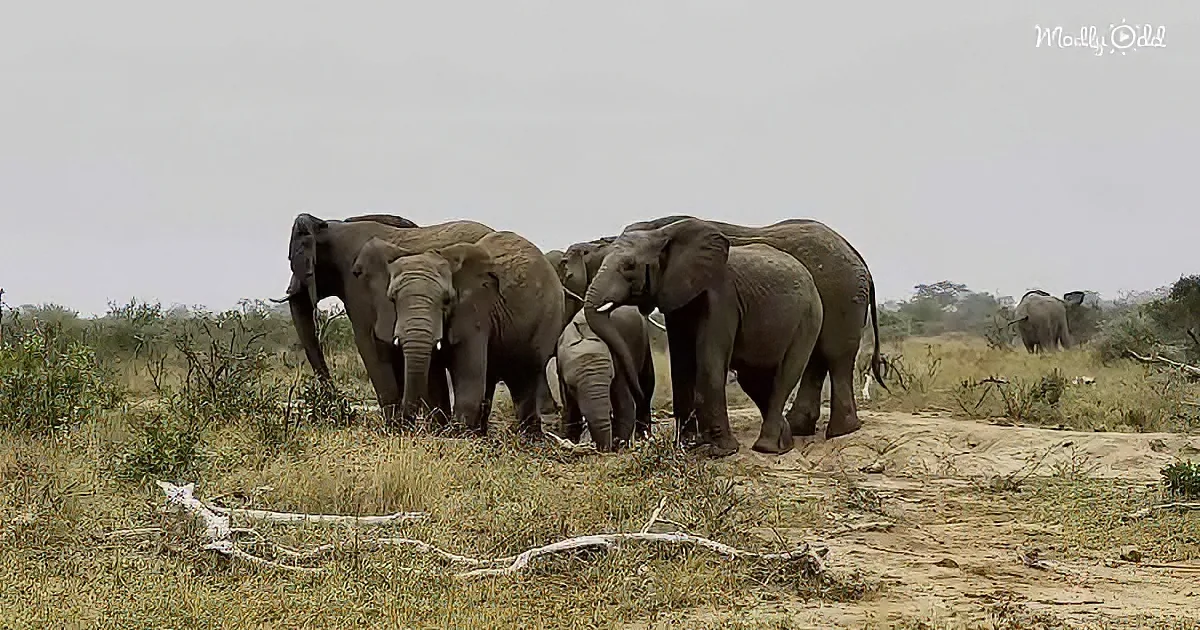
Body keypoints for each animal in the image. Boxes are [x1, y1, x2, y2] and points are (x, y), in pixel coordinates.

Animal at [273, 213, 494, 422]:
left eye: (292, 262)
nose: (339, 408)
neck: (330, 227)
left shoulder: (358, 288)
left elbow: (368, 344)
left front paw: (395, 426)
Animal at [351, 230, 564, 436]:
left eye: (446, 300)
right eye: (392, 299)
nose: (405, 425)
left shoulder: (474, 311)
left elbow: (468, 377)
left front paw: (458, 436)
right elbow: (434, 382)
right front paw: (440, 432)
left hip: (547, 319)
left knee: (525, 374)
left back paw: (527, 438)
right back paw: (483, 434)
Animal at [556, 305, 654, 451]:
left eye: (610, 379)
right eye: (572, 387)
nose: (602, 448)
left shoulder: (616, 361)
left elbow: (625, 404)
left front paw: (619, 444)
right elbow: (569, 408)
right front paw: (568, 438)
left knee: (647, 387)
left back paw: (644, 436)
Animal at [601, 215, 883, 444]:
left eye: (628, 267)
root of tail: (857, 255)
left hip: (842, 294)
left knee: (835, 356)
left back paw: (840, 432)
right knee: (816, 357)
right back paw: (798, 428)